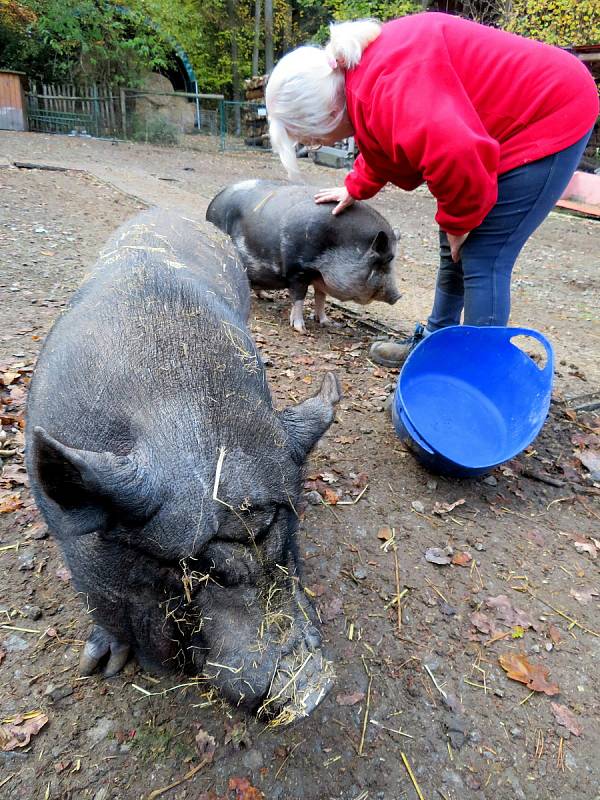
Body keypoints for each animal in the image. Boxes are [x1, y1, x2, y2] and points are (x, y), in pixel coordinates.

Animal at [205, 180, 398, 332]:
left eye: (392, 260)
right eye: (382, 261)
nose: (397, 296)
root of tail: (215, 199)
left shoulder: (321, 278)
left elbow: (321, 297)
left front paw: (327, 322)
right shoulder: (298, 270)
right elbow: (299, 297)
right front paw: (301, 329)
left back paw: (267, 297)